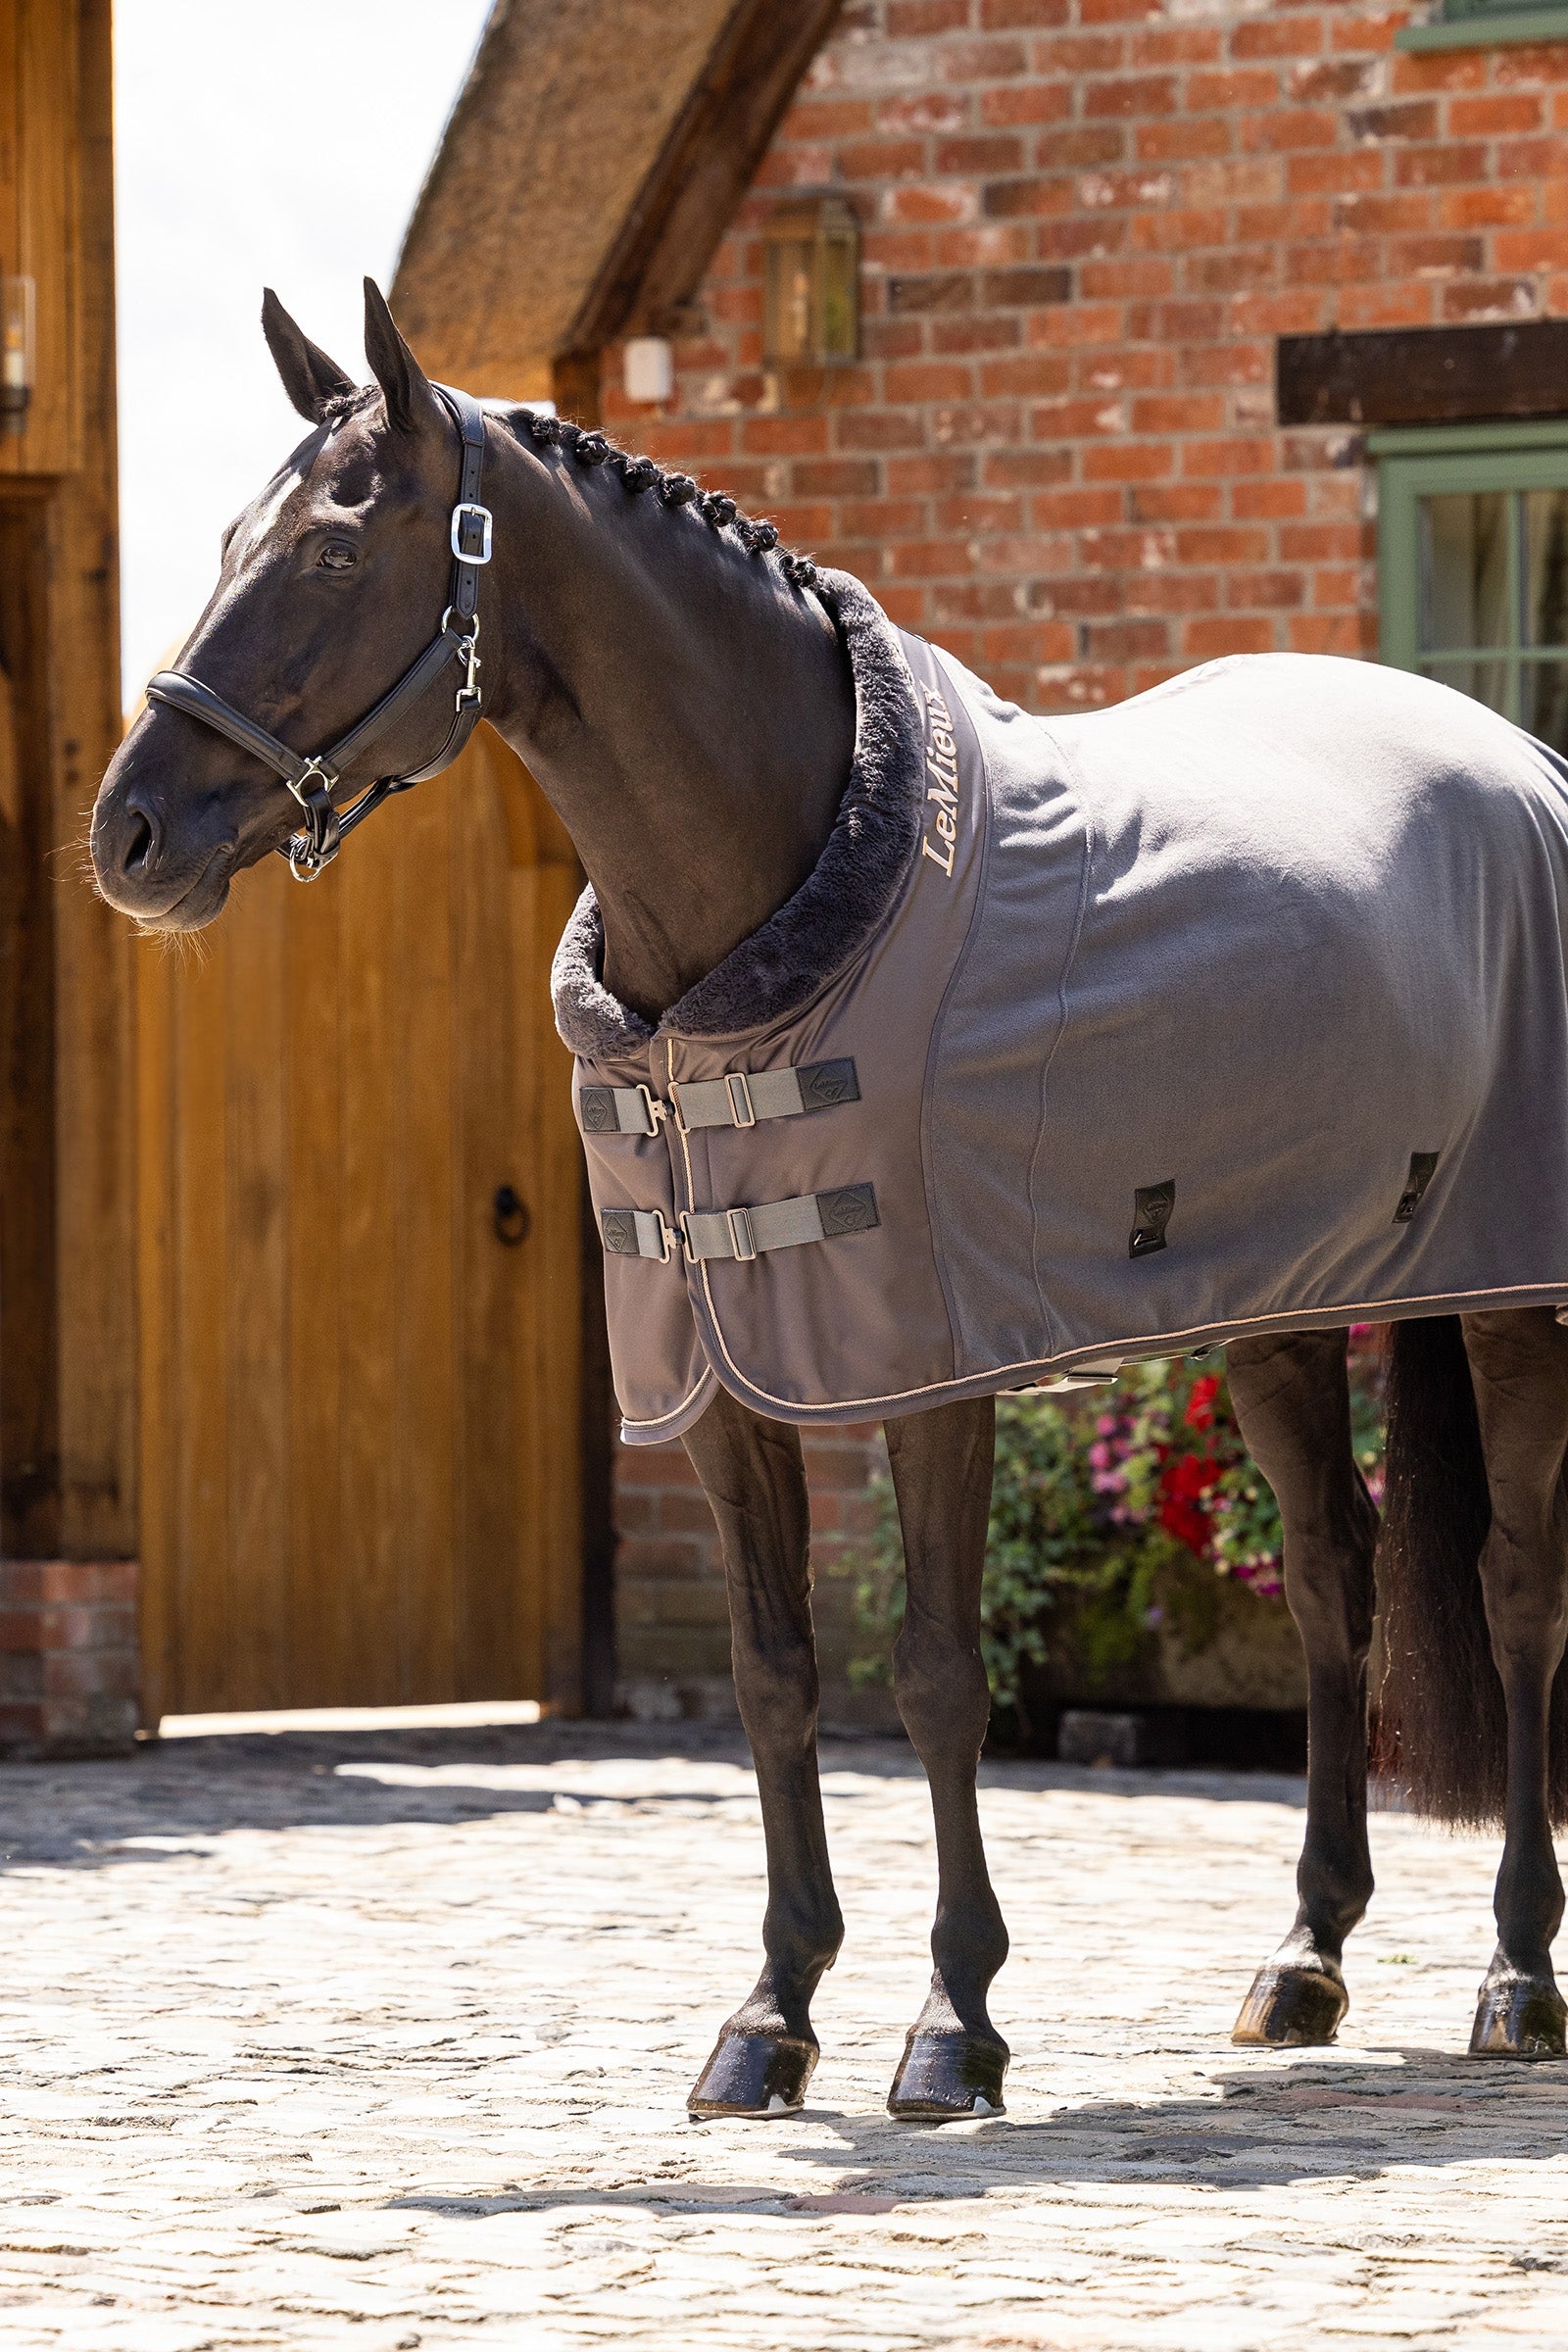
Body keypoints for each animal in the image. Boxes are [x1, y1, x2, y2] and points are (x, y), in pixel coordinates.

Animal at [90, 280, 1568, 2119]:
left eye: (334, 551)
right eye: (232, 534)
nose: (129, 835)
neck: (790, 882)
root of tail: (1516, 762)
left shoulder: (929, 1363)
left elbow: (933, 1675)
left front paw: (954, 2022)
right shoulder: (723, 1376)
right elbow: (773, 1675)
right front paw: (770, 2013)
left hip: (1514, 1294)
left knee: (1518, 1587)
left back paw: (1516, 1976)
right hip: (1279, 1307)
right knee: (1328, 1577)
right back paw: (1303, 1961)